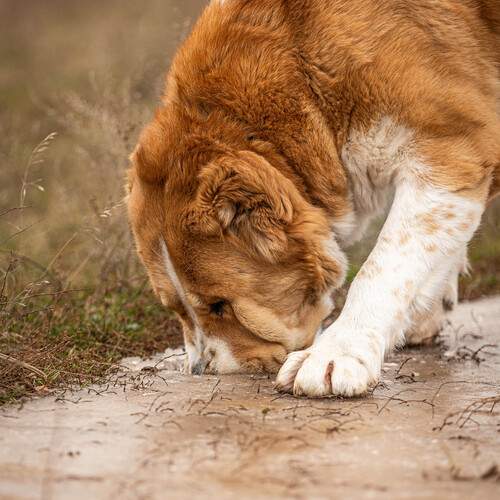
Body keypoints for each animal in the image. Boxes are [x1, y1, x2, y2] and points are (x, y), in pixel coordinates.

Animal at [126, 0, 500, 397]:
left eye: (219, 306)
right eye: (177, 309)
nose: (201, 370)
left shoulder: (451, 154)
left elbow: (382, 267)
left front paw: (336, 354)